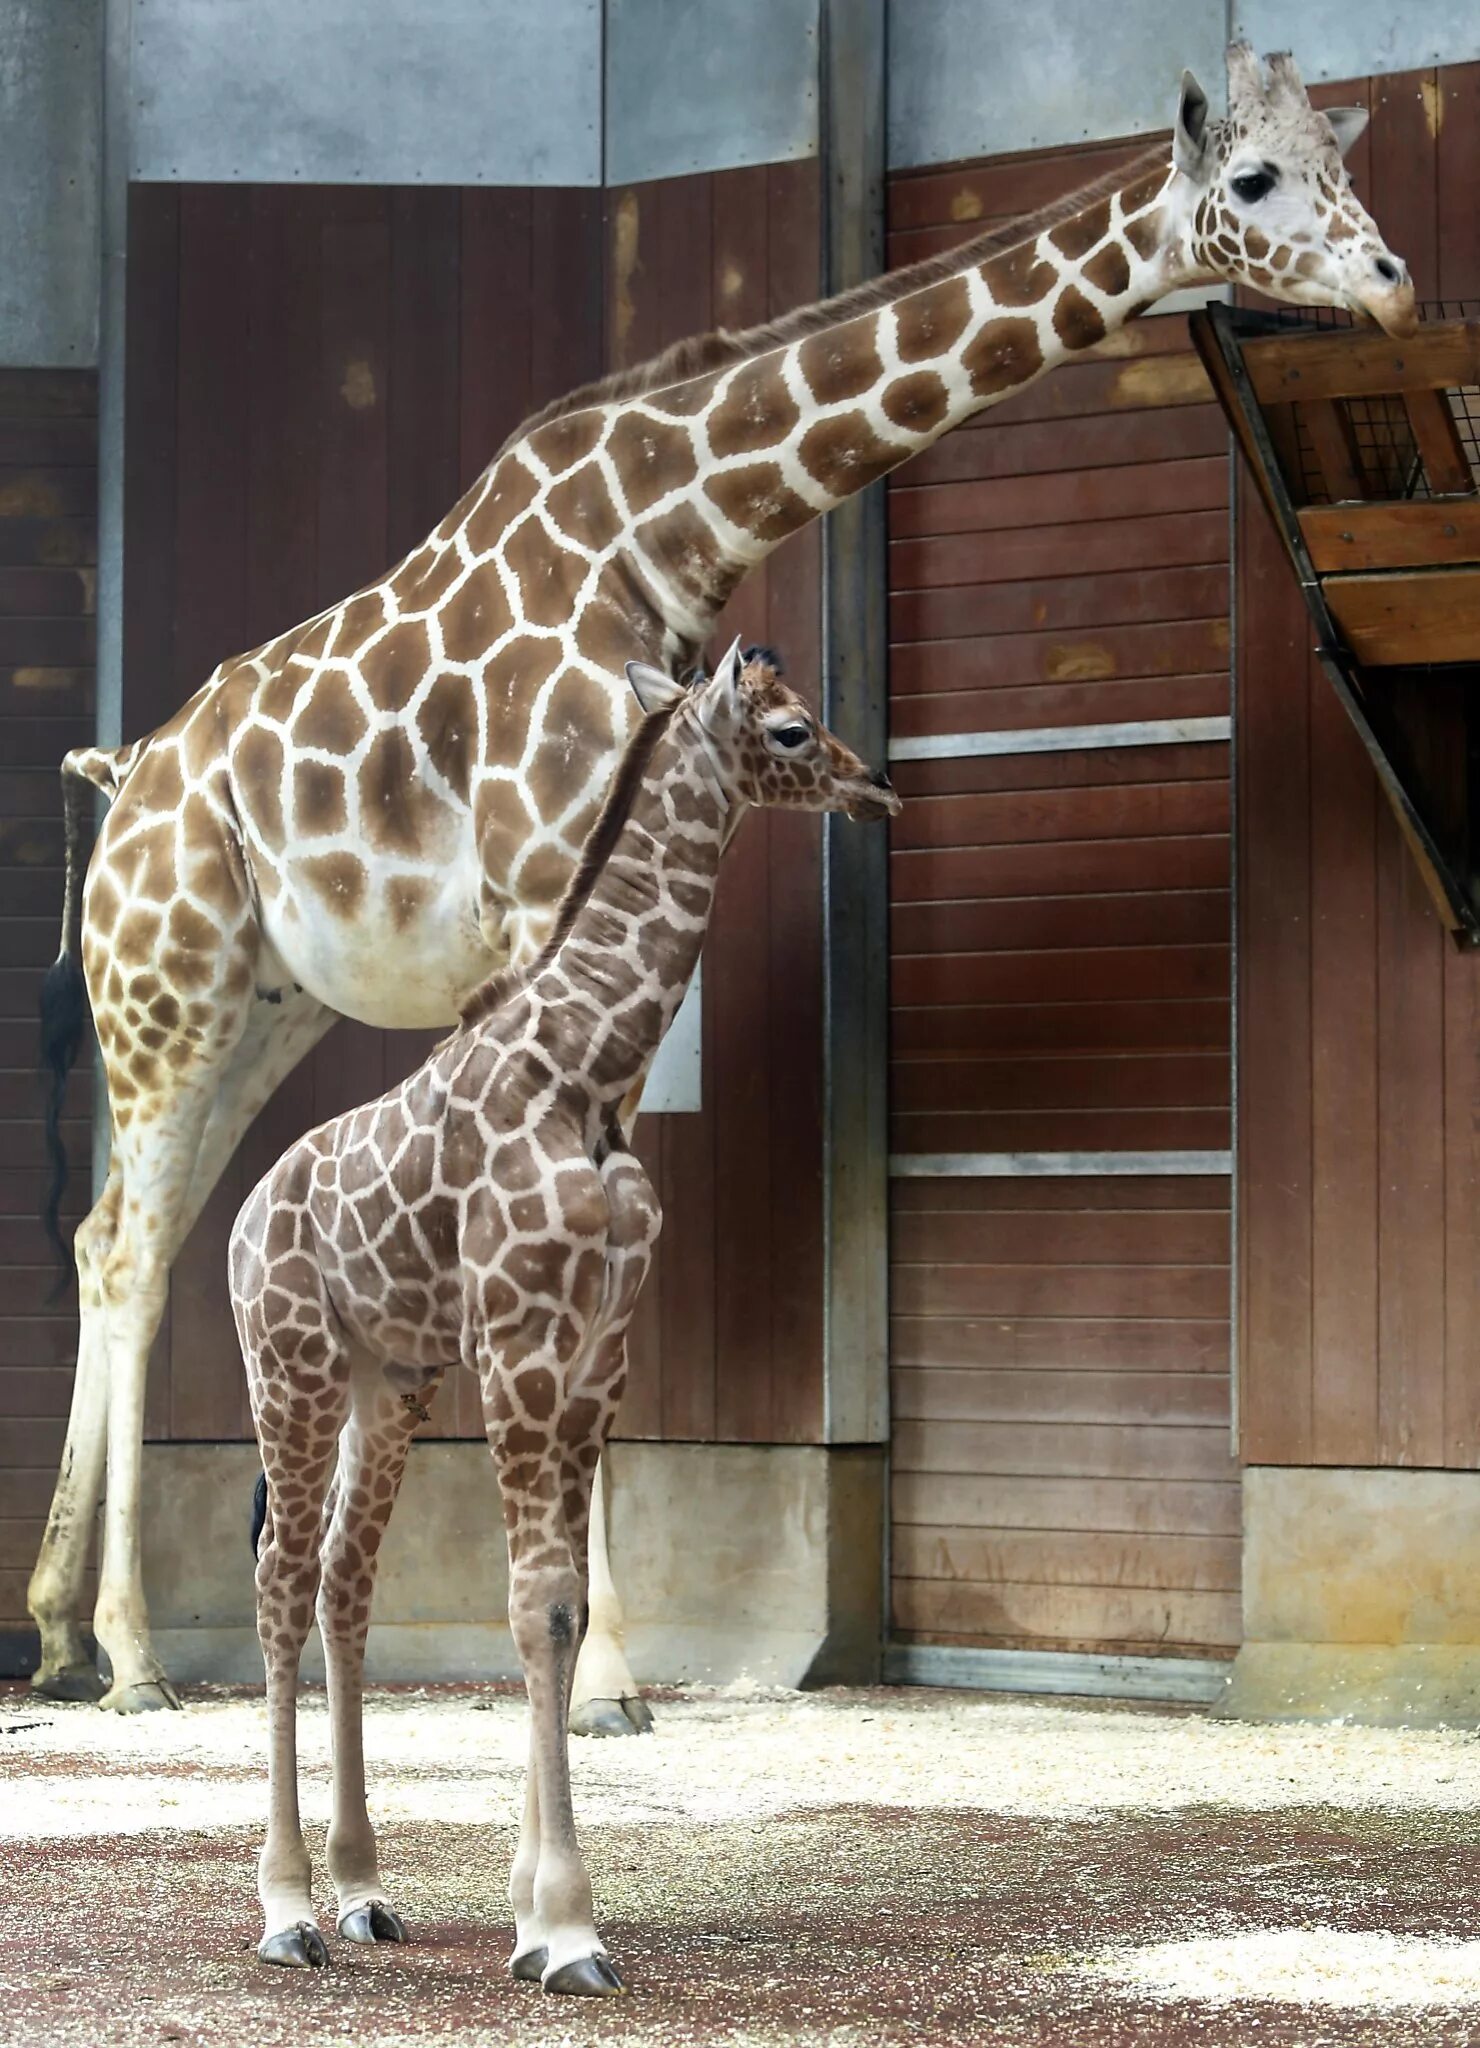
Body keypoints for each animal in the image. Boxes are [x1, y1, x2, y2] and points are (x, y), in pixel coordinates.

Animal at [31, 44, 1416, 1712]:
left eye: (1344, 164)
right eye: (1257, 182)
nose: (1398, 282)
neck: (658, 533)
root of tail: (120, 778)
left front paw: (598, 1653)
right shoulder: (540, 916)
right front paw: (601, 1668)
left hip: (257, 1007)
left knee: (119, 1236)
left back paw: (59, 1629)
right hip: (163, 993)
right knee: (128, 1251)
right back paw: (127, 1654)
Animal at [230, 634, 896, 1982]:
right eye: (792, 730)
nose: (876, 787)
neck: (588, 1068)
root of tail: (234, 1225)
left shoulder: (599, 1352)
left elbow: (569, 1606)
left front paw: (534, 1914)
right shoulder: (523, 1342)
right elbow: (532, 1602)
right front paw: (567, 1926)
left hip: (390, 1378)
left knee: (342, 1581)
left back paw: (364, 1891)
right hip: (294, 1366)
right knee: (279, 1579)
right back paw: (284, 1912)